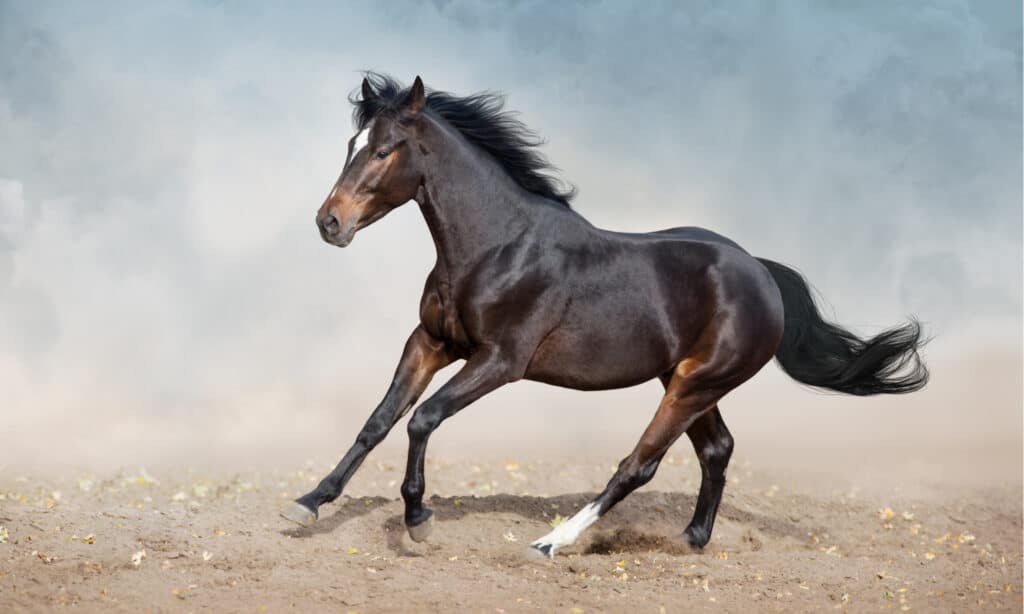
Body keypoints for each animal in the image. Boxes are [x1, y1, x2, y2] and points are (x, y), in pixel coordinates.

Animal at [282, 72, 929, 556]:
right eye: (351, 146)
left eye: (384, 150)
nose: (329, 223)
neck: (497, 246)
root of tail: (761, 273)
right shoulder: (430, 342)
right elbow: (378, 420)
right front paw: (309, 503)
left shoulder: (500, 361)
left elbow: (422, 419)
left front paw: (418, 518)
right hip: (686, 380)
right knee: (716, 450)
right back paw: (692, 539)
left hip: (696, 384)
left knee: (639, 463)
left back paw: (553, 542)